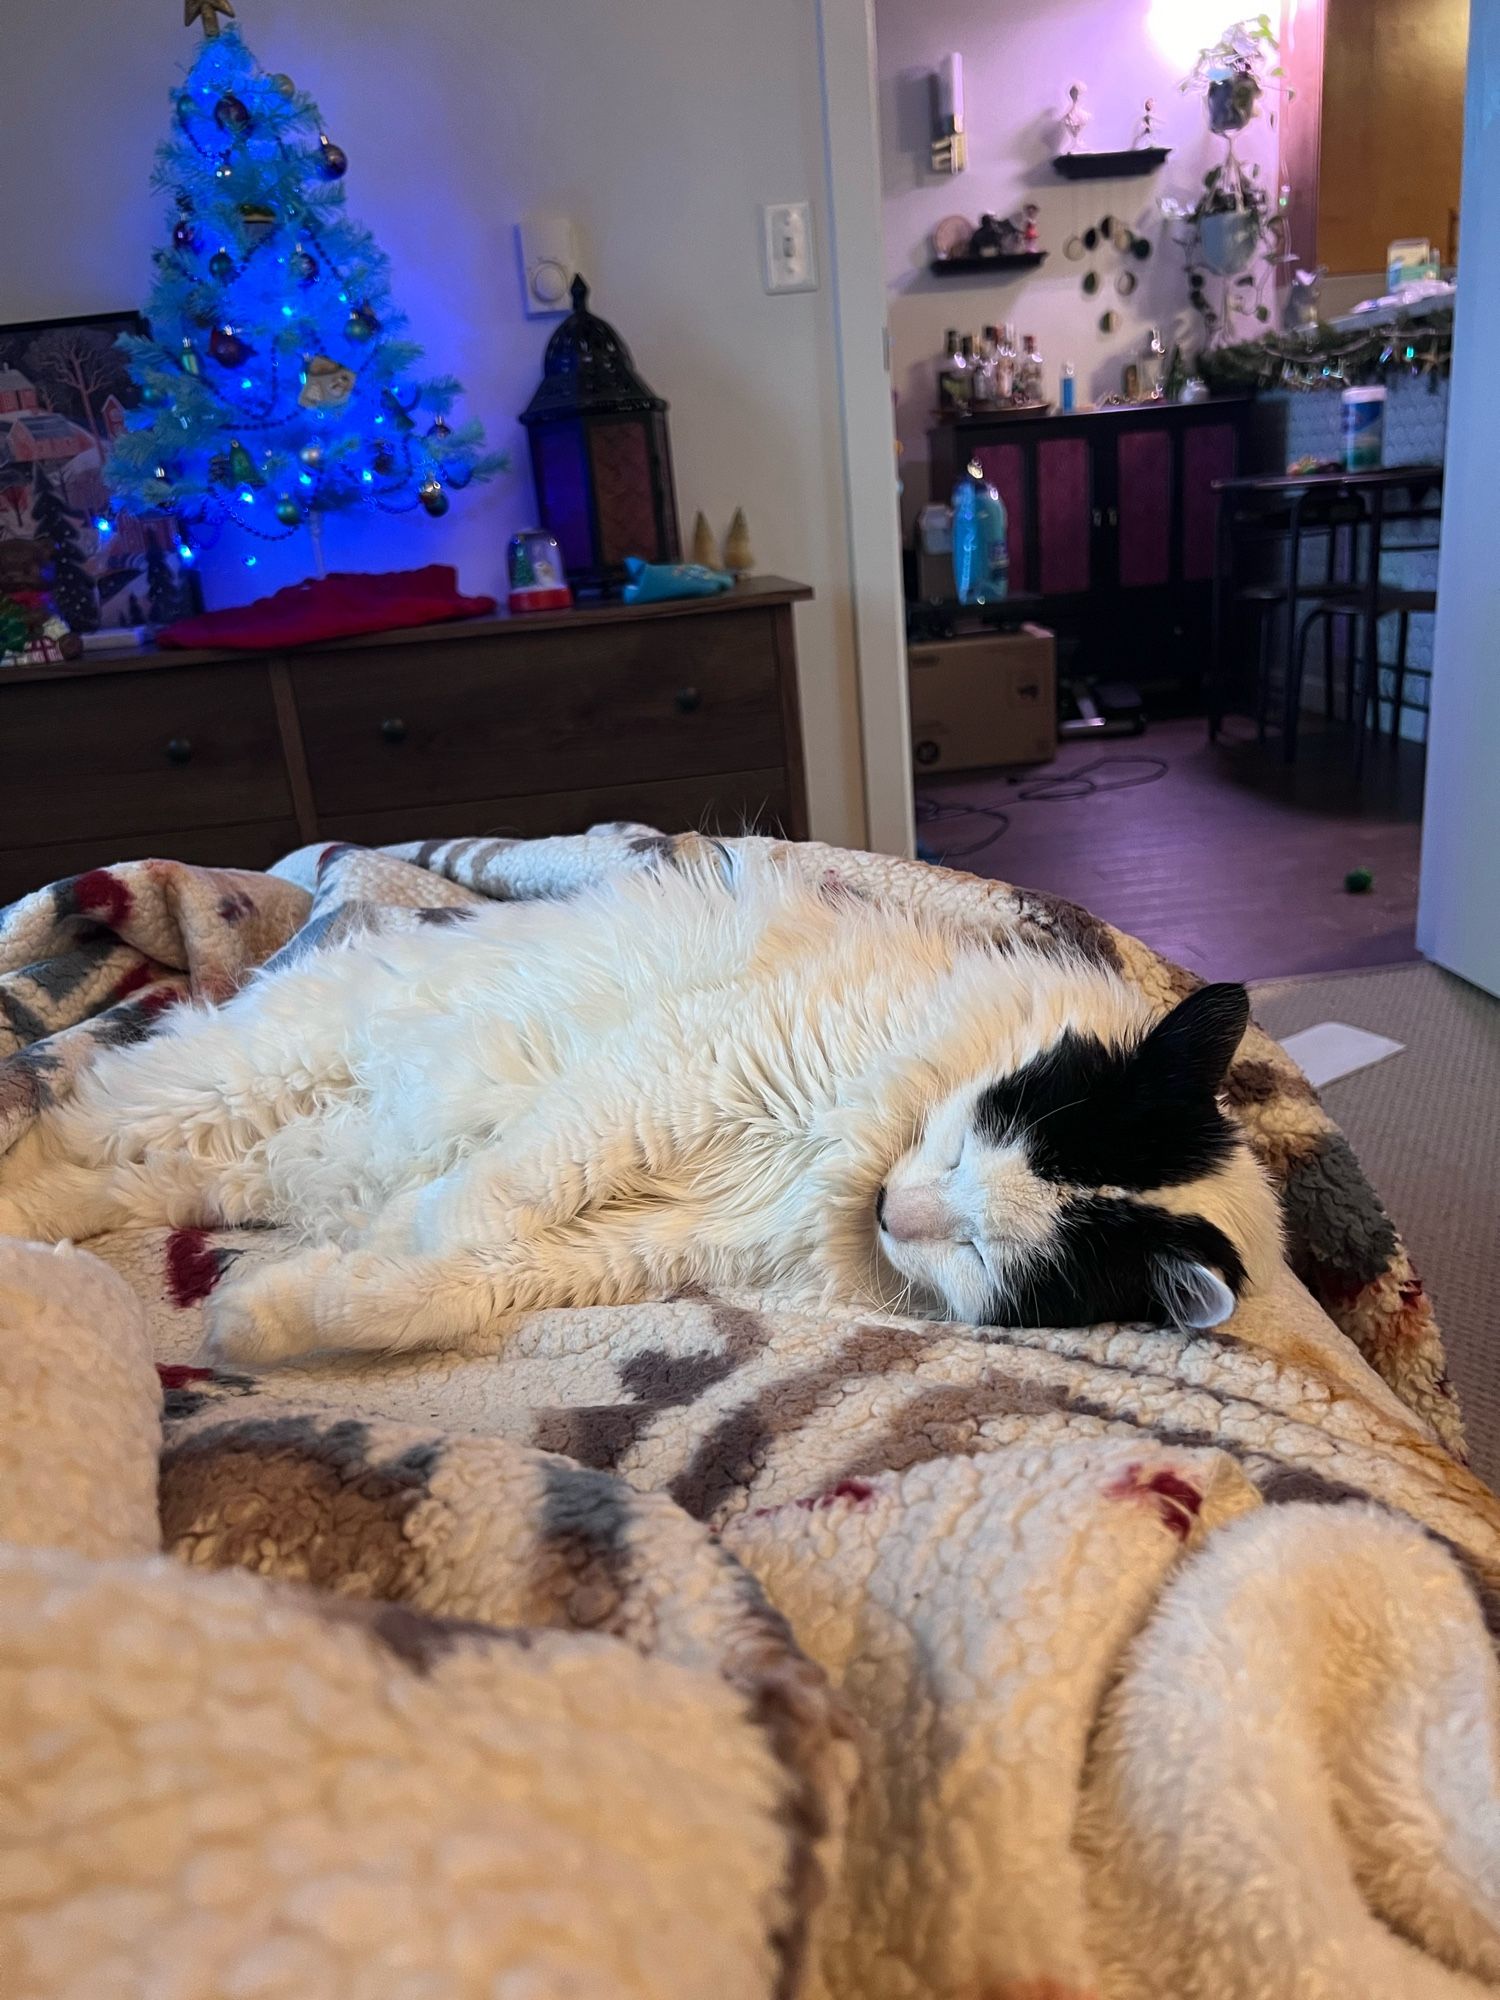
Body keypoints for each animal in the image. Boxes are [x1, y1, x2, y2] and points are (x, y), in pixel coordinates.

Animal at [0, 844, 1288, 1360]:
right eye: (982, 1144)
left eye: (982, 1251)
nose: (897, 1210)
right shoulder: (673, 1078)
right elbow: (490, 1202)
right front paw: (398, 1240)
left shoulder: (662, 1241)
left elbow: (443, 1284)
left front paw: (274, 1313)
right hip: (250, 1075)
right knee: (82, 1110)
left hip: (249, 1158)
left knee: (103, 1179)